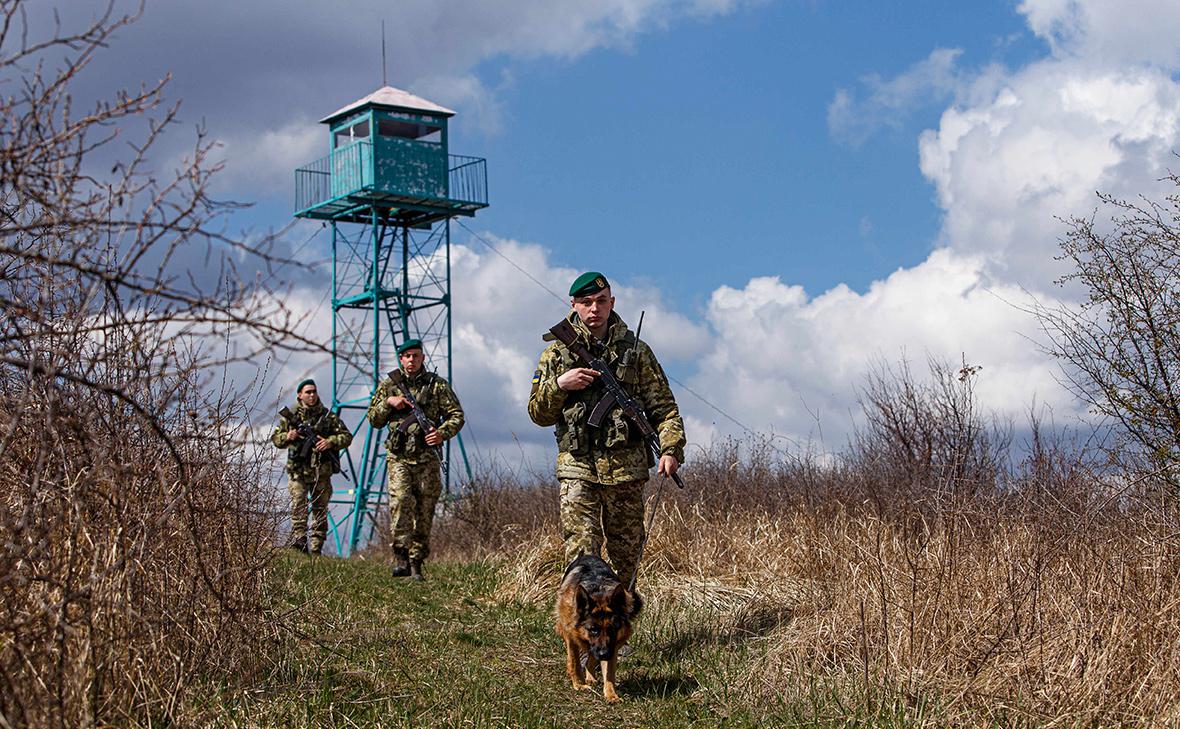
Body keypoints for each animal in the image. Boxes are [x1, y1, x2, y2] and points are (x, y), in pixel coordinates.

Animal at [554, 554, 646, 703]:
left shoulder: (612, 646)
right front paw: (578, 684)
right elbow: (574, 661)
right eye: (593, 629)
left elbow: (609, 672)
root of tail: (587, 555)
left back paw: (591, 677)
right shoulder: (571, 635)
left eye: (613, 629)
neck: (598, 593)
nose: (604, 654)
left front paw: (611, 694)